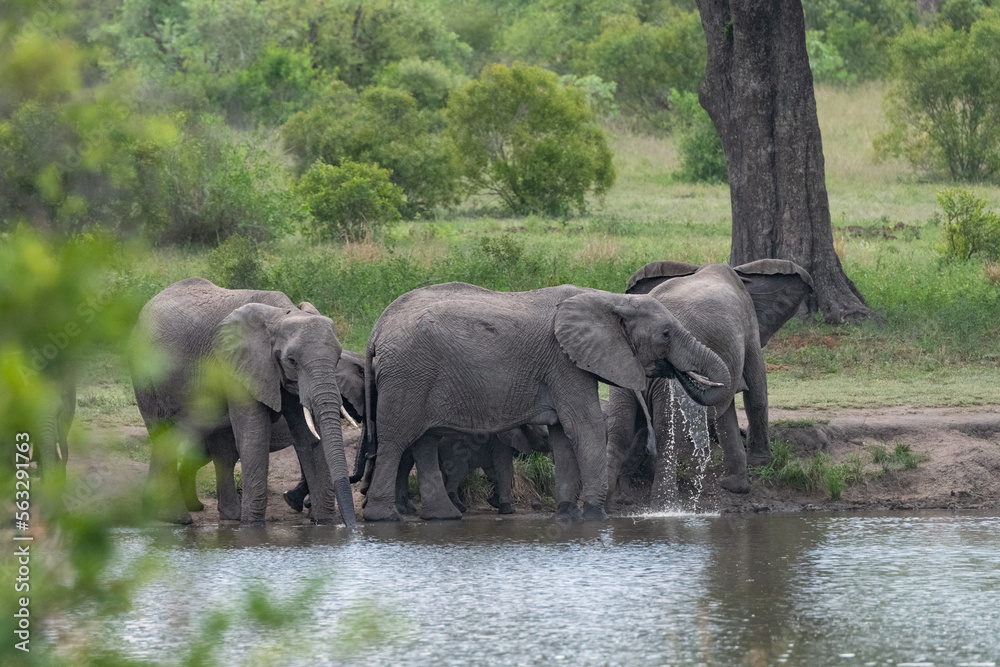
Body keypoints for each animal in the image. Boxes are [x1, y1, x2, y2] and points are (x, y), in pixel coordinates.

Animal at [130, 277, 355, 527]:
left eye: (337, 358)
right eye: (292, 361)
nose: (351, 527)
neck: (282, 314)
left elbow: (306, 436)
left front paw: (325, 524)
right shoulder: (236, 364)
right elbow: (253, 436)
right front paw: (252, 526)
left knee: (219, 449)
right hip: (145, 368)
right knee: (162, 431)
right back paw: (178, 519)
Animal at [361, 281, 732, 522]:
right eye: (666, 334)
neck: (608, 299)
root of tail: (376, 330)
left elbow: (563, 435)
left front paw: (567, 515)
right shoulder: (564, 362)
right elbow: (585, 427)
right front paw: (595, 516)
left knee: (424, 441)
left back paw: (442, 517)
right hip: (408, 377)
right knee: (396, 441)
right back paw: (384, 518)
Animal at [605, 260, 813, 511]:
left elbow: (724, 411)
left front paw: (732, 485)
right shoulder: (749, 328)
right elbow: (756, 394)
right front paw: (759, 464)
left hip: (621, 376)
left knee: (621, 429)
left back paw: (619, 499)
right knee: (665, 431)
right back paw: (662, 505)